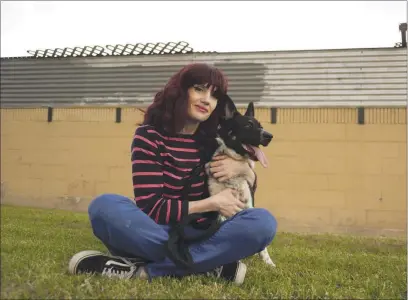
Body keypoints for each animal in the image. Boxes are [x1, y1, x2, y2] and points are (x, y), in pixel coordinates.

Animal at [206, 95, 276, 268]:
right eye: (248, 125)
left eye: (261, 126)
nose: (269, 136)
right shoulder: (219, 209)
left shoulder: (249, 204)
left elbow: (263, 247)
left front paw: (268, 262)